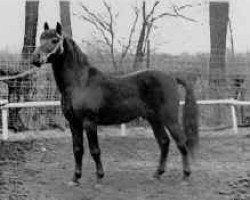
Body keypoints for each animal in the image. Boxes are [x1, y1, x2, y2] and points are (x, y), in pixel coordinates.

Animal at [31, 22, 199, 186]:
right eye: (41, 38)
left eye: (54, 40)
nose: (35, 58)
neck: (80, 82)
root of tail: (172, 77)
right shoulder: (74, 123)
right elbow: (77, 149)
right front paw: (75, 179)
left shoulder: (89, 122)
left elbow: (95, 150)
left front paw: (99, 178)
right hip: (154, 119)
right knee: (164, 142)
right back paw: (157, 174)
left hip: (169, 119)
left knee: (181, 142)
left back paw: (185, 176)